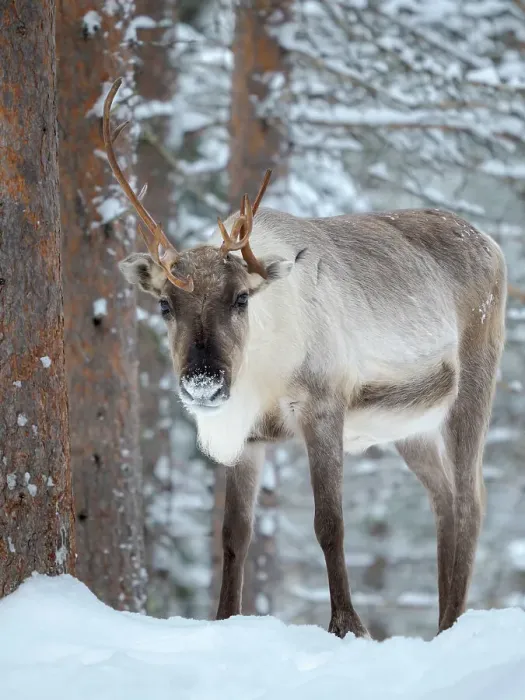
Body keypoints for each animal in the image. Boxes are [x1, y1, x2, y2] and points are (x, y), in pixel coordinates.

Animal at [103, 78, 506, 638]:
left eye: (240, 298)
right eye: (164, 304)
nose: (204, 381)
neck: (263, 374)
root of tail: (494, 244)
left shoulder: (323, 407)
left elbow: (329, 522)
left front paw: (348, 624)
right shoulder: (250, 437)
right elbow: (234, 534)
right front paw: (224, 617)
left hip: (474, 387)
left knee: (472, 500)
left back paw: (452, 623)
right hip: (411, 428)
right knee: (443, 499)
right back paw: (443, 621)